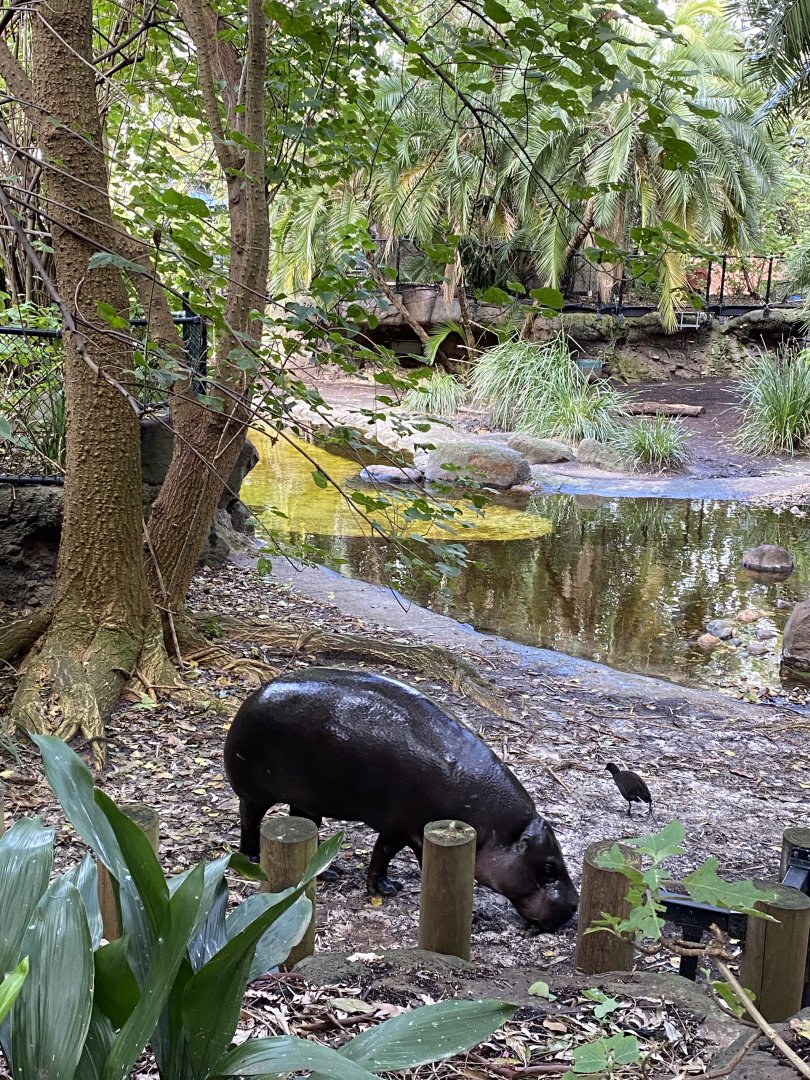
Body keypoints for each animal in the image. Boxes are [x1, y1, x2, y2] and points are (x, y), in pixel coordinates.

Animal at [224, 667, 578, 931]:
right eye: (549, 867)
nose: (574, 904)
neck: (499, 828)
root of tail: (254, 695)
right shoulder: (412, 830)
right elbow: (399, 860)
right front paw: (470, 916)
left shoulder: (399, 828)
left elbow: (382, 856)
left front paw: (386, 888)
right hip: (255, 792)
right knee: (249, 820)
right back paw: (253, 857)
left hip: (308, 801)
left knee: (305, 828)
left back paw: (331, 872)